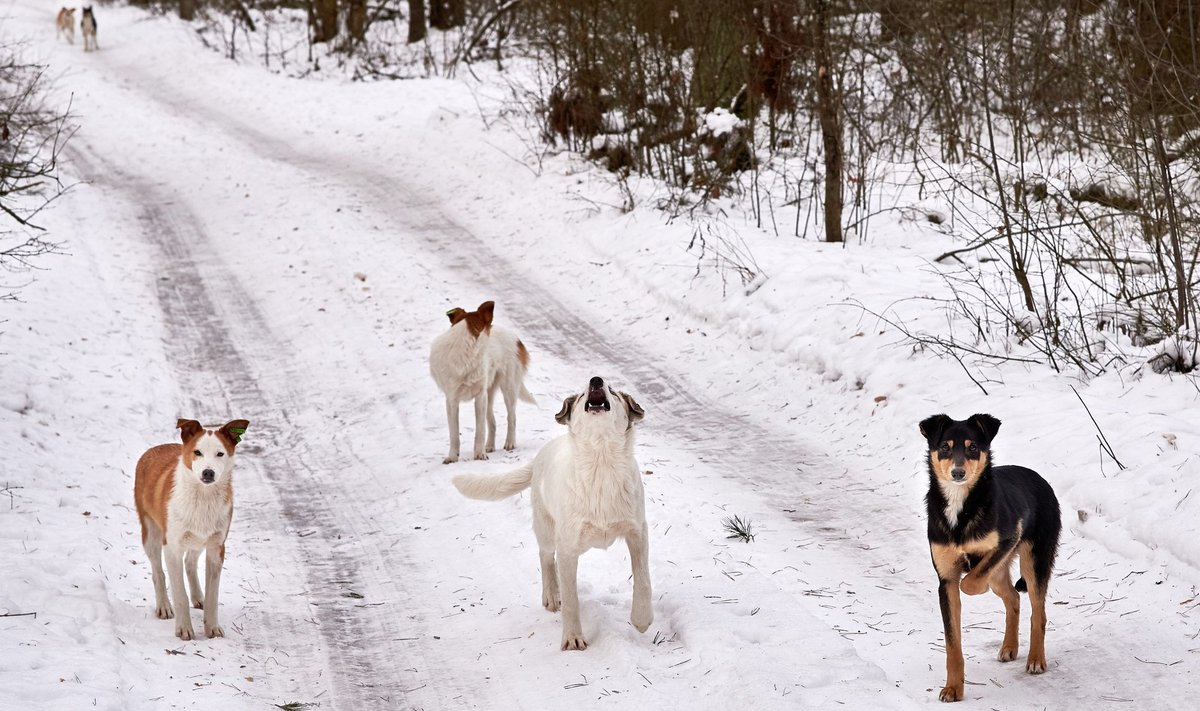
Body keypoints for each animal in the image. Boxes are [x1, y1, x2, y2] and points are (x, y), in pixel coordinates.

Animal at [133, 420, 248, 643]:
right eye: (197, 452)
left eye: (220, 454)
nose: (208, 473)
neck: (203, 497)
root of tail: (153, 449)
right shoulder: (172, 548)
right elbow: (180, 595)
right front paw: (184, 629)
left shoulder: (216, 547)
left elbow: (213, 596)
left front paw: (212, 627)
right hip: (151, 534)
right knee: (158, 573)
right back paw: (164, 606)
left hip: (199, 537)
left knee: (190, 562)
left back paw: (197, 596)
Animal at [427, 301, 530, 463]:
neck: (463, 346)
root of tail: (515, 337)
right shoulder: (452, 401)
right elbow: (454, 434)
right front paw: (452, 457)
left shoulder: (480, 397)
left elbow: (480, 430)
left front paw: (479, 454)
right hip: (489, 394)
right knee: (492, 422)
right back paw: (490, 446)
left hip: (509, 388)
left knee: (511, 417)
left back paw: (510, 443)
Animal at [451, 377, 652, 648]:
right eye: (581, 395)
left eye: (612, 391)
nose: (596, 380)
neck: (601, 461)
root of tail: (539, 457)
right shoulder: (568, 546)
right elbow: (571, 600)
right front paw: (573, 638)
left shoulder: (637, 532)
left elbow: (642, 580)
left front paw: (642, 620)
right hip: (548, 530)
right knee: (546, 557)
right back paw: (551, 596)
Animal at [916, 413, 1060, 701]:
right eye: (945, 447)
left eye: (972, 447)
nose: (958, 473)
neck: (960, 507)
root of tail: (1040, 479)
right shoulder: (946, 581)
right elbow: (952, 645)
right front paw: (953, 688)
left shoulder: (1006, 540)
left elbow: (970, 582)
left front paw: (973, 584)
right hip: (1002, 573)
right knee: (1013, 597)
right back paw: (1009, 647)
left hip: (1033, 561)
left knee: (1037, 613)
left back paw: (1036, 660)